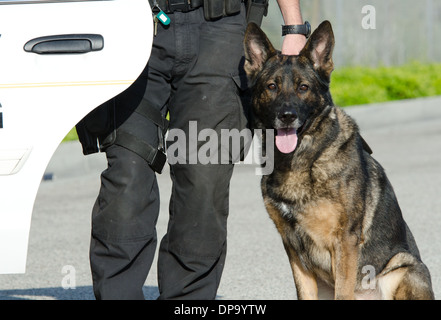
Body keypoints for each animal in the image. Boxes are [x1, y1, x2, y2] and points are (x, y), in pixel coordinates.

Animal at [244, 21, 434, 300]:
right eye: (271, 86)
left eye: (303, 87)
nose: (287, 116)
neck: (303, 161)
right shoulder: (293, 248)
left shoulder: (344, 242)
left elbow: (343, 292)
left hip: (403, 268)